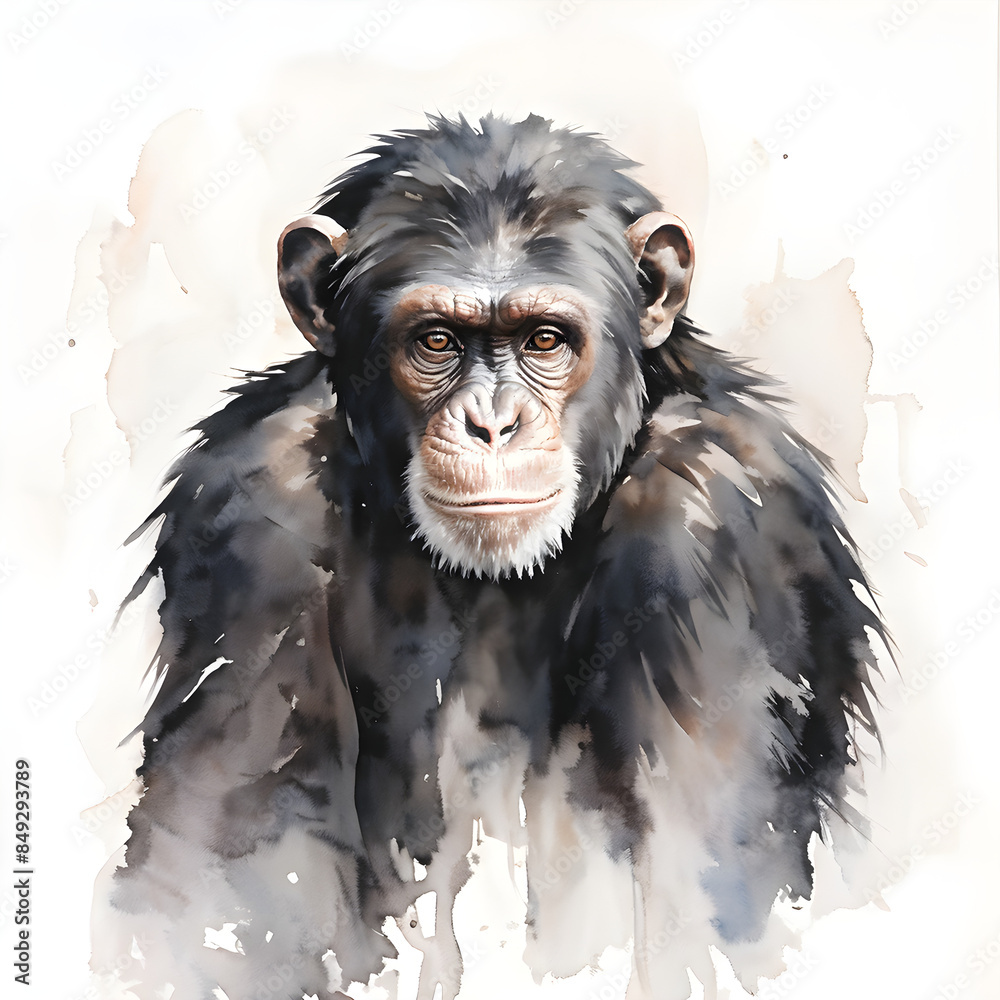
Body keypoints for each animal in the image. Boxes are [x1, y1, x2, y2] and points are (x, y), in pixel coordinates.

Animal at [106, 113, 884, 1000]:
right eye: (438, 341)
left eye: (544, 339)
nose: (492, 422)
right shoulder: (247, 513)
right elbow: (225, 862)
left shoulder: (719, 521)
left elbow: (704, 889)